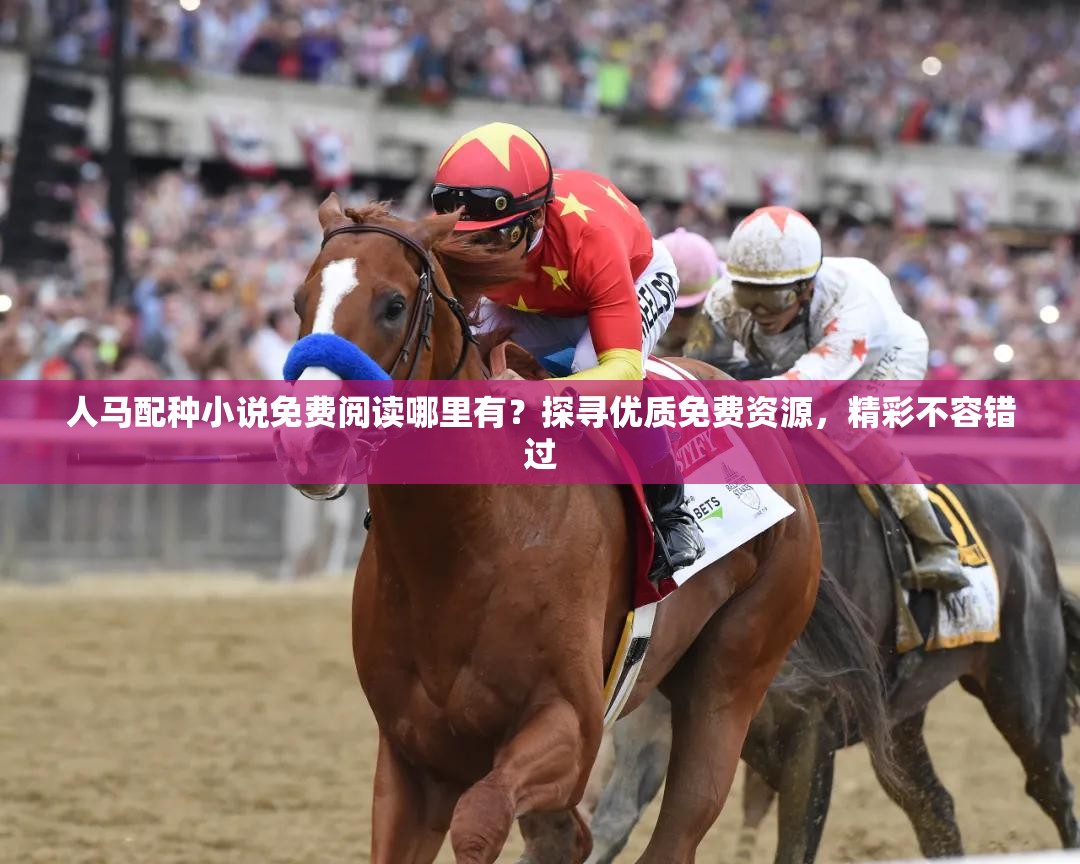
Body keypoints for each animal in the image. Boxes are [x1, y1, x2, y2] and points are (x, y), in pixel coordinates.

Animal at [274, 193, 822, 864]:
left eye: (393, 304)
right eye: (299, 301)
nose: (308, 443)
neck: (472, 541)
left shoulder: (569, 727)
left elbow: (482, 818)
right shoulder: (412, 757)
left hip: (734, 673)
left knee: (683, 817)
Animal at [536, 470, 1080, 864]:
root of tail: (1029, 525)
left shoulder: (810, 735)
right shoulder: (655, 724)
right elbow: (611, 824)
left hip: (1023, 696)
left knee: (1051, 787)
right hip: (900, 727)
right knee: (935, 808)